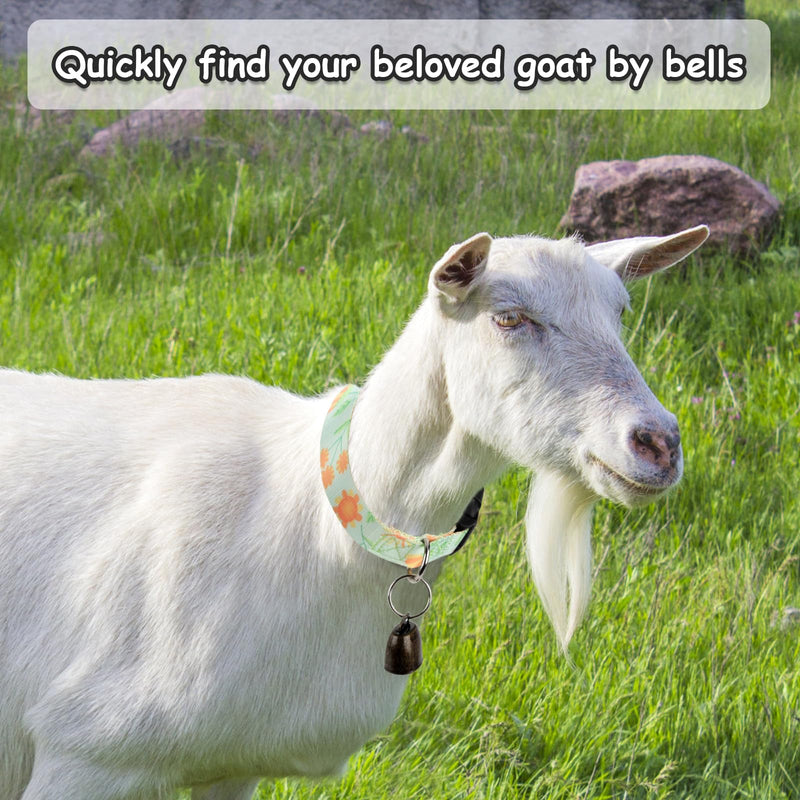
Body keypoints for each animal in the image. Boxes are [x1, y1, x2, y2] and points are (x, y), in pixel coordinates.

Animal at [0, 225, 708, 800]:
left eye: (620, 312)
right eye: (509, 317)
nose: (658, 442)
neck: (315, 527)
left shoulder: (232, 763)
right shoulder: (86, 749)